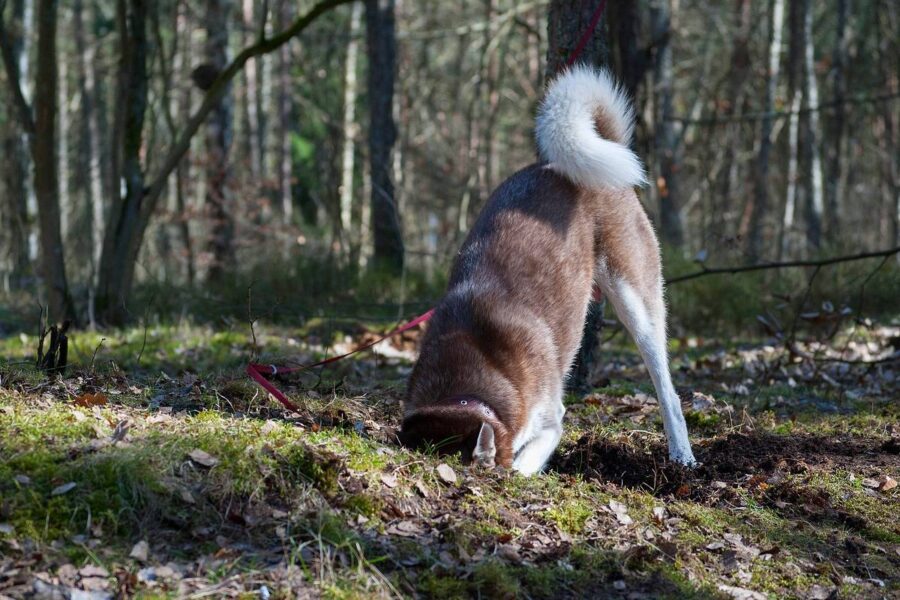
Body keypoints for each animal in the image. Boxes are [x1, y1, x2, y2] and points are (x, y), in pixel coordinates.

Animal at [400, 67, 696, 474]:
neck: (463, 387)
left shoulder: (550, 418)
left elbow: (523, 463)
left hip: (637, 304)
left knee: (669, 393)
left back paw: (683, 456)